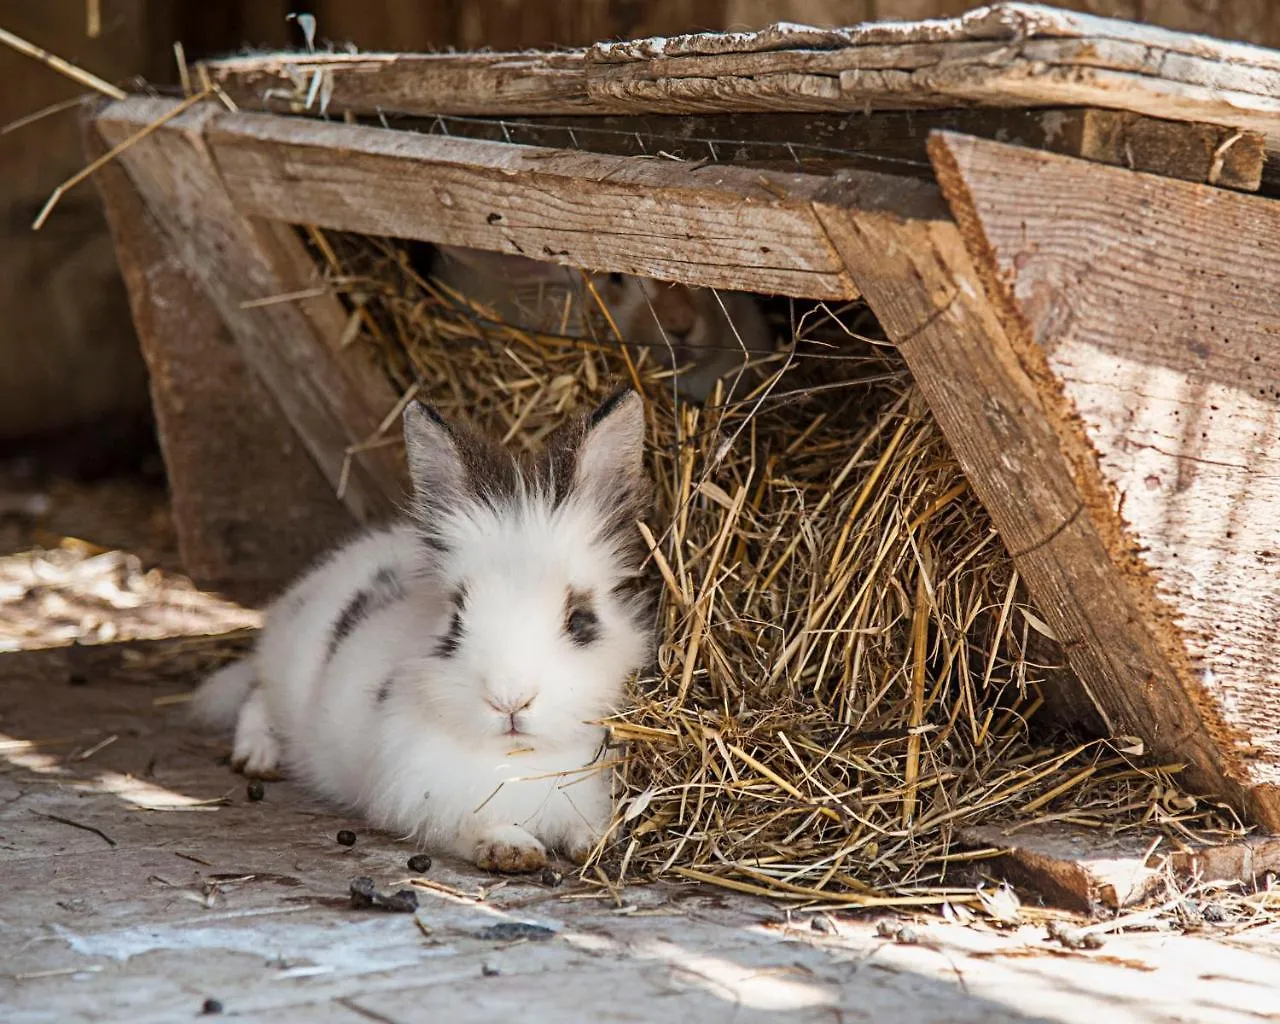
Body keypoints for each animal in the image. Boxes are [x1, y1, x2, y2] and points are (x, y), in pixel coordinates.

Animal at [188, 389, 650, 870]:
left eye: (580, 619)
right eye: (456, 620)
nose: (509, 700)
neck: (518, 757)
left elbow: (585, 826)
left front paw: (591, 845)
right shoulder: (427, 798)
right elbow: (471, 825)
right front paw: (512, 850)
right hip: (287, 676)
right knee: (255, 698)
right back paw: (257, 756)